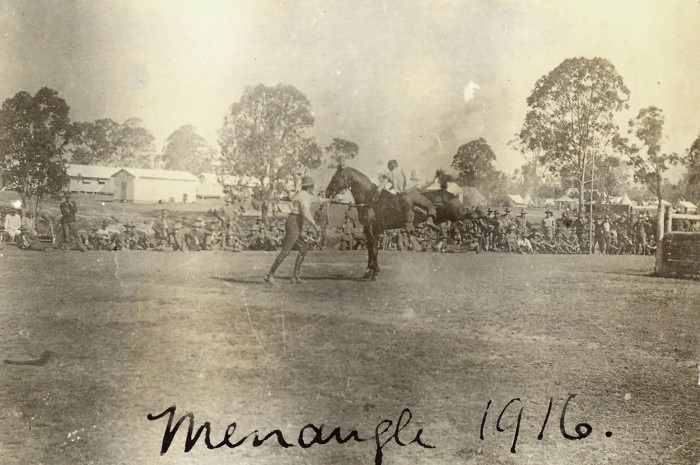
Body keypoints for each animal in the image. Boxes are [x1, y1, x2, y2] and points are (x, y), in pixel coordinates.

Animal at [326, 166, 490, 280]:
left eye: (335, 177)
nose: (326, 193)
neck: (370, 199)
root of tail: (452, 194)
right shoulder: (370, 230)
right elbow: (372, 251)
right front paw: (369, 272)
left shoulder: (372, 229)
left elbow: (373, 251)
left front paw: (373, 273)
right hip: (453, 217)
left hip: (458, 214)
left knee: (475, 214)